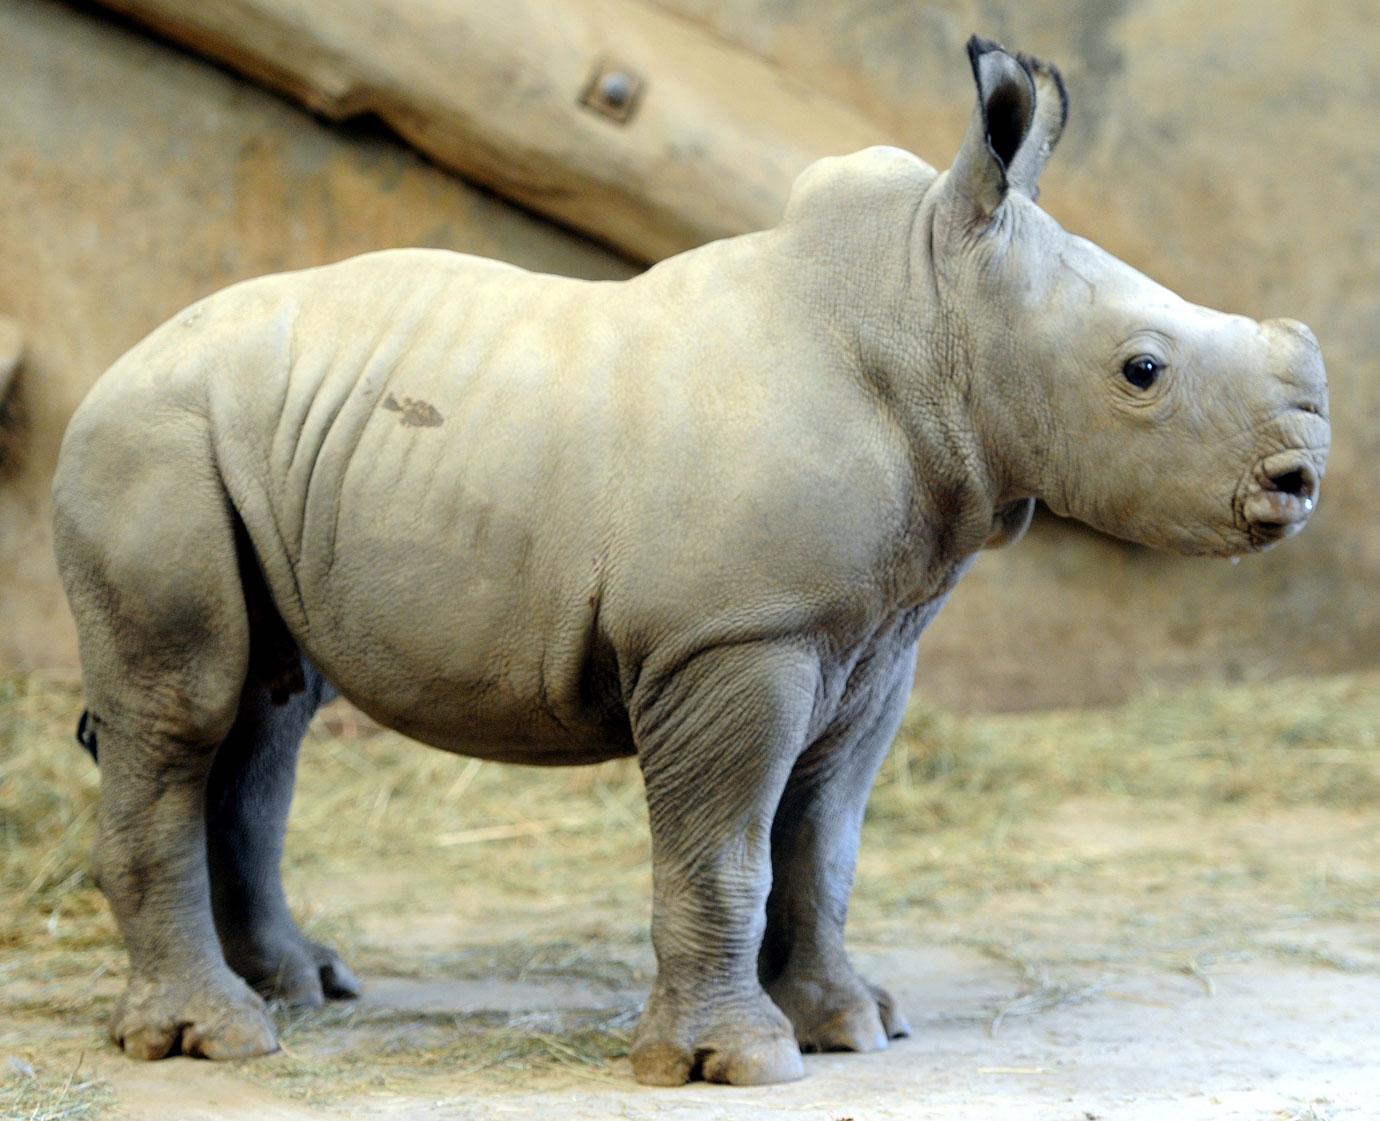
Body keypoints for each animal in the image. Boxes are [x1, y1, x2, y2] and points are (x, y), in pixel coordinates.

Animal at [53, 37, 1324, 1087]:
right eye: (1143, 371)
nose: (1302, 477)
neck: (930, 314)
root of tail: (111, 368)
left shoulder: (868, 636)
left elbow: (823, 844)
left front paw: (852, 1024)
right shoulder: (735, 635)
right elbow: (727, 850)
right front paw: (737, 1062)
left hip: (242, 445)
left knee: (268, 713)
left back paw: (305, 987)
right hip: (150, 443)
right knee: (186, 710)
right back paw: (215, 1036)